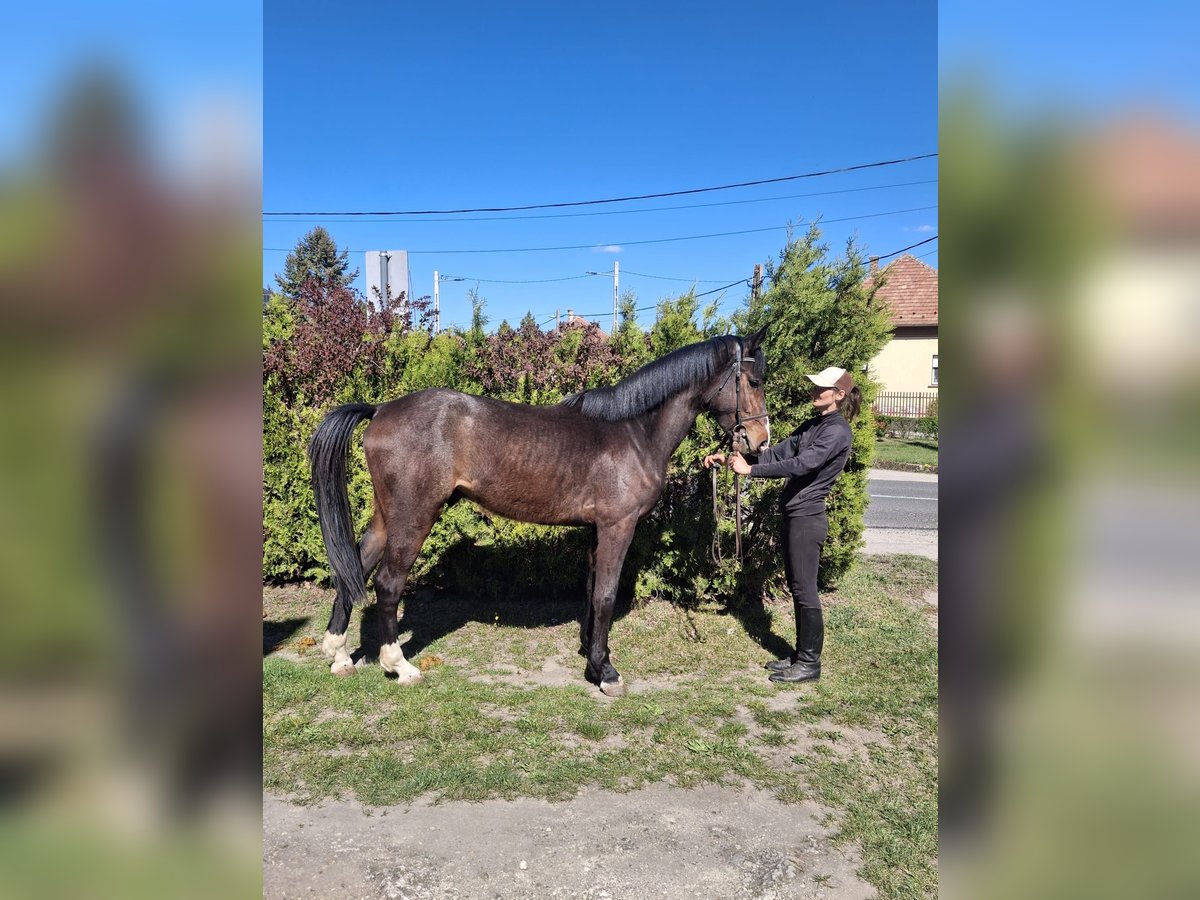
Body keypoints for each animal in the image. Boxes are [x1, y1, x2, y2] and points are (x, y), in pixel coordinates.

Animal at [308, 327, 770, 696]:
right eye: (752, 380)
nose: (759, 442)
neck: (634, 432)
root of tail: (381, 409)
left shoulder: (596, 529)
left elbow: (591, 592)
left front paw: (592, 656)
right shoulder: (617, 526)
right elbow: (606, 595)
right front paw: (607, 673)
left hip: (387, 516)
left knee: (355, 566)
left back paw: (339, 655)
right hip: (414, 516)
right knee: (387, 582)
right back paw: (399, 665)